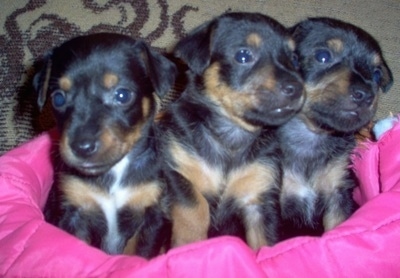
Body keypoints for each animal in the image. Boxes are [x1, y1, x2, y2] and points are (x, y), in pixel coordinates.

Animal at [34, 33, 177, 258]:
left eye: (122, 95)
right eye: (58, 98)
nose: (82, 147)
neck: (113, 174)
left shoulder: (152, 216)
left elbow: (139, 254)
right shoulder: (72, 214)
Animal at [156, 11, 304, 249]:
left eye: (295, 58)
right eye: (243, 55)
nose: (297, 88)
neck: (232, 132)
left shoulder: (260, 199)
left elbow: (265, 244)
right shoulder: (177, 172)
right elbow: (196, 209)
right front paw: (190, 246)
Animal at [278, 17, 394, 239]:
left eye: (376, 75)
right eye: (323, 56)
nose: (366, 95)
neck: (311, 136)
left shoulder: (338, 194)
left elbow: (336, 229)